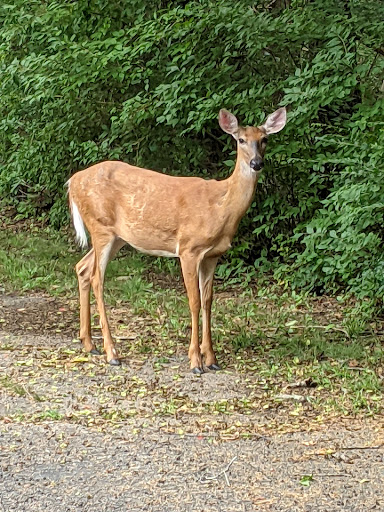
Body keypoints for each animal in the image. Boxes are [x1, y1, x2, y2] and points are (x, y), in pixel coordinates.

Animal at [67, 107, 286, 372]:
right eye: (241, 140)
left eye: (264, 139)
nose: (256, 163)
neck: (221, 207)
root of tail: (72, 182)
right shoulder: (189, 248)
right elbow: (194, 301)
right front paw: (195, 361)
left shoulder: (213, 255)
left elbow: (208, 301)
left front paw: (212, 358)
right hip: (101, 227)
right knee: (97, 278)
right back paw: (112, 352)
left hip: (119, 236)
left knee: (82, 267)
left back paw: (89, 344)